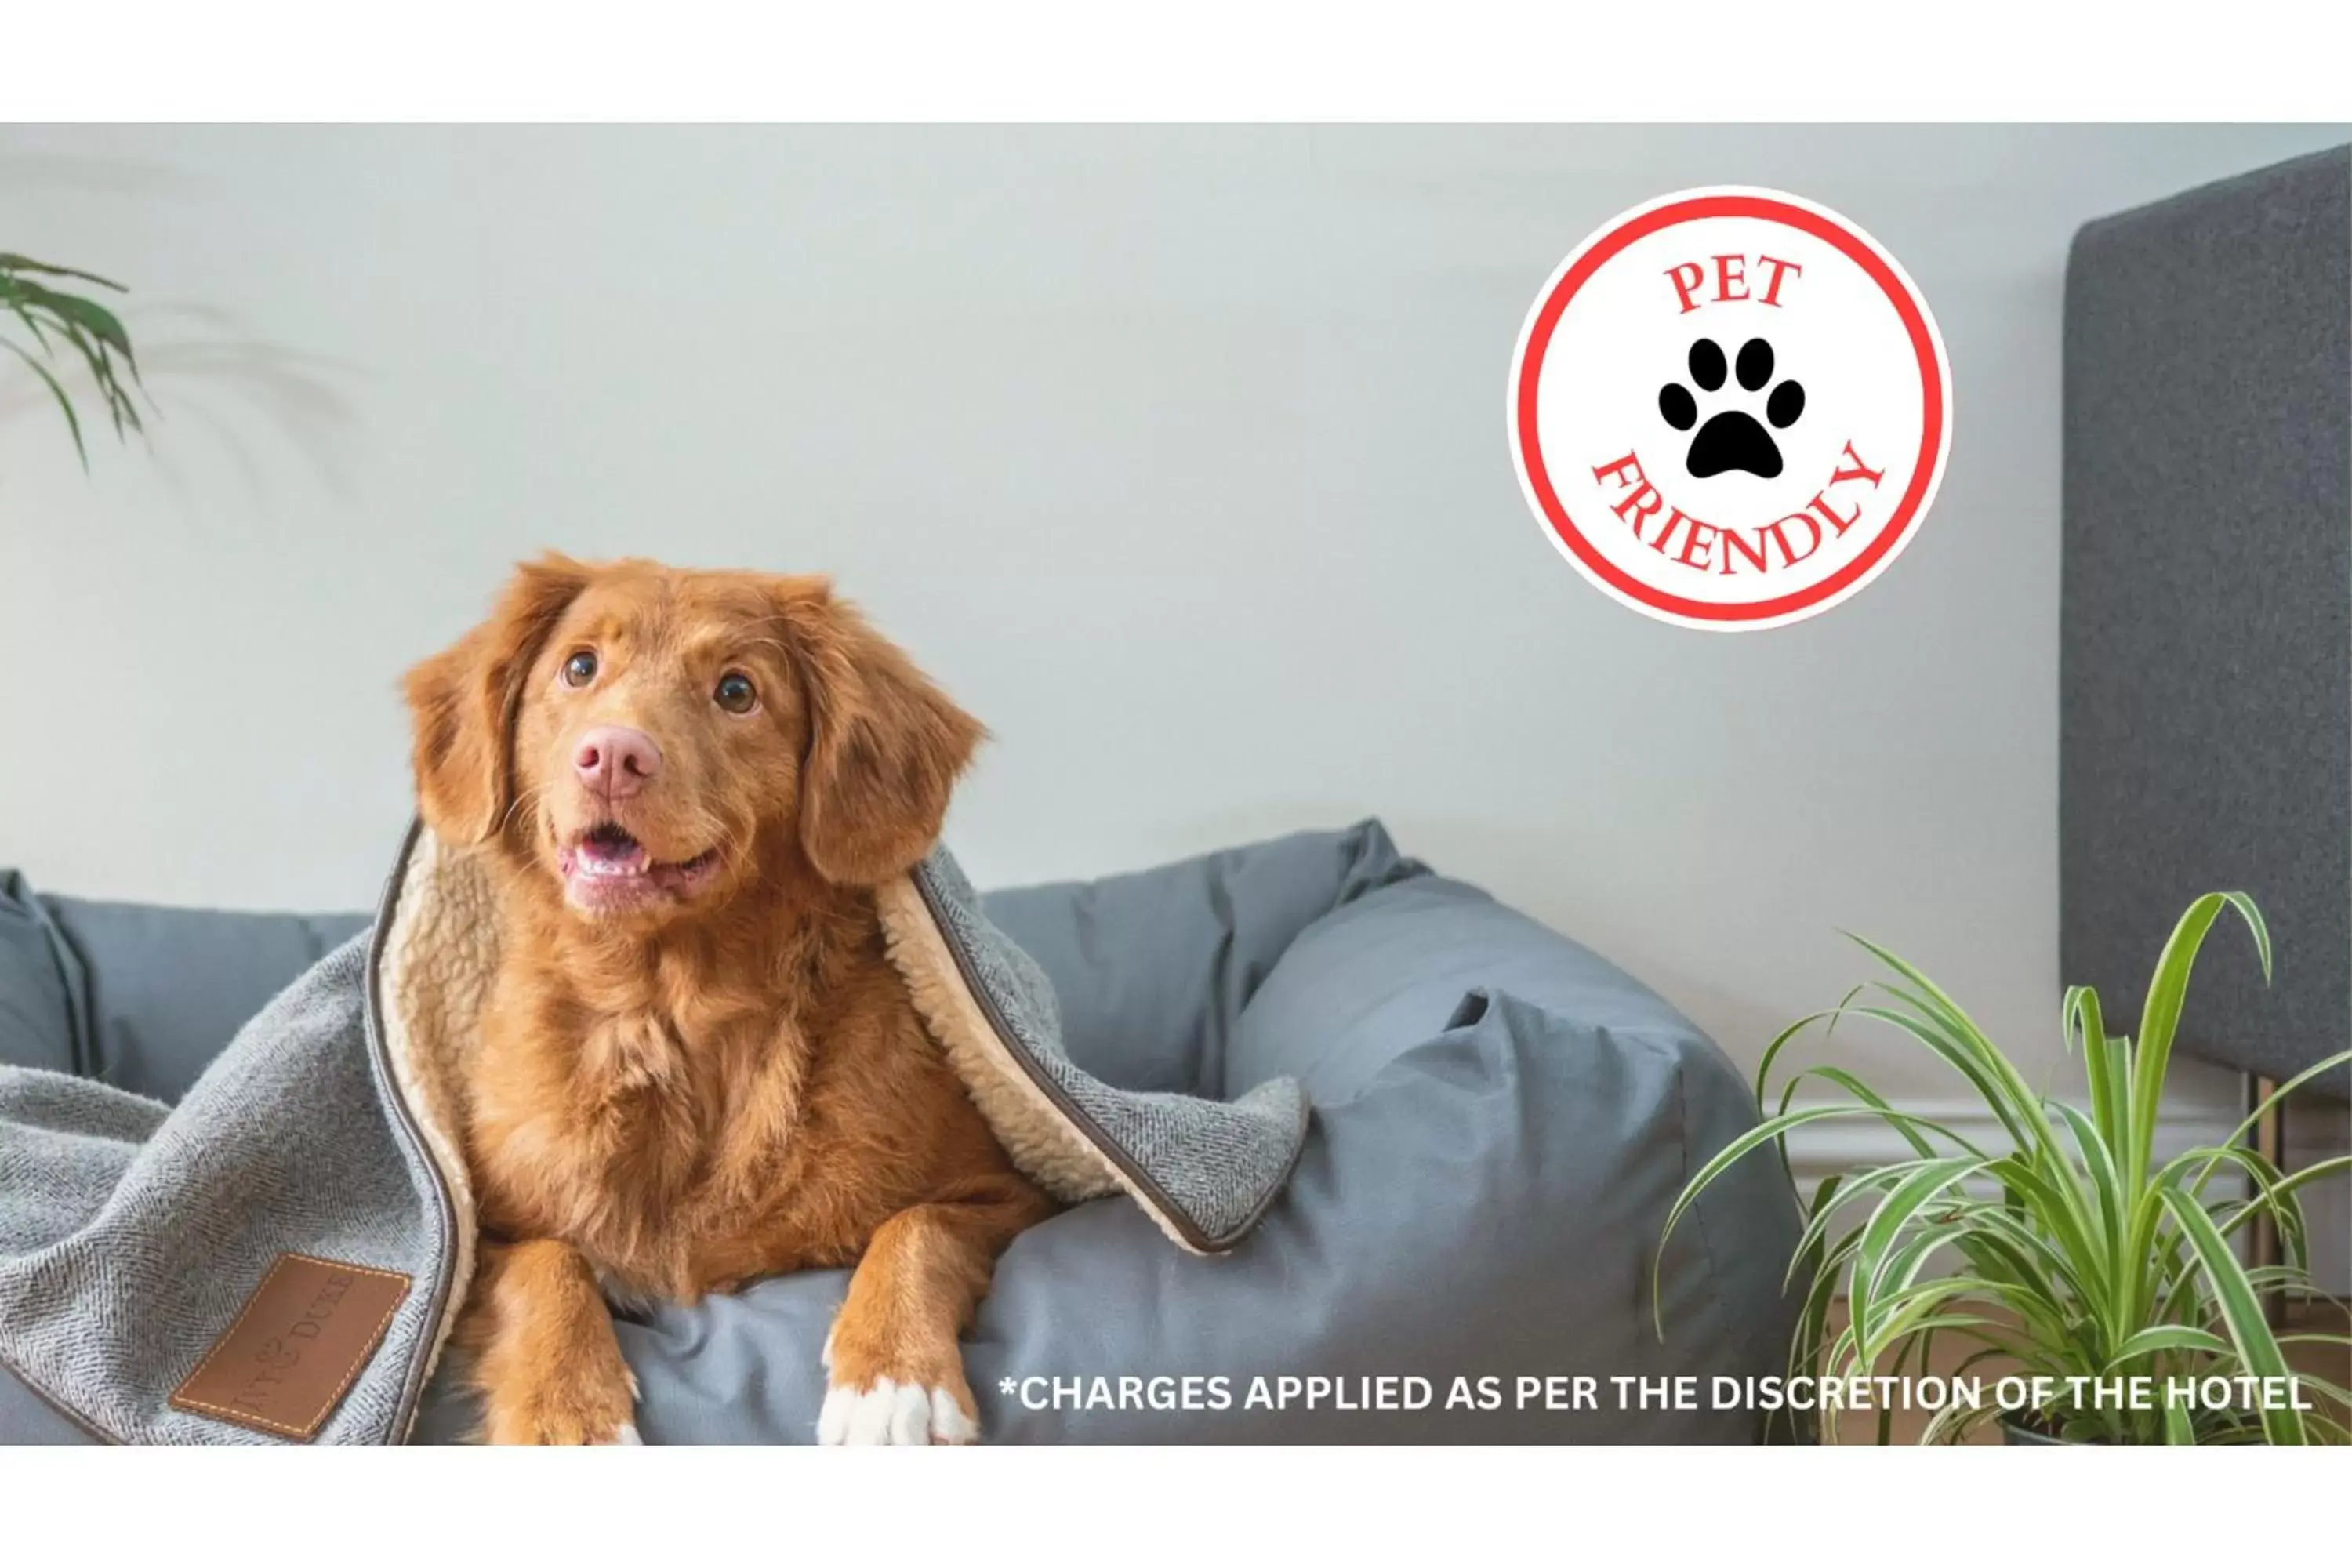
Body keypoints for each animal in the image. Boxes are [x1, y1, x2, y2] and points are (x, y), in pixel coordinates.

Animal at [407, 552, 1058, 1448]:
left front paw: (893, 1377)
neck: (673, 1014)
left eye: (737, 690)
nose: (612, 756)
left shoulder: (1012, 1194)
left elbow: (920, 1225)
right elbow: (548, 1263)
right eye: (580, 667)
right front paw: (568, 1412)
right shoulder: (478, 1238)